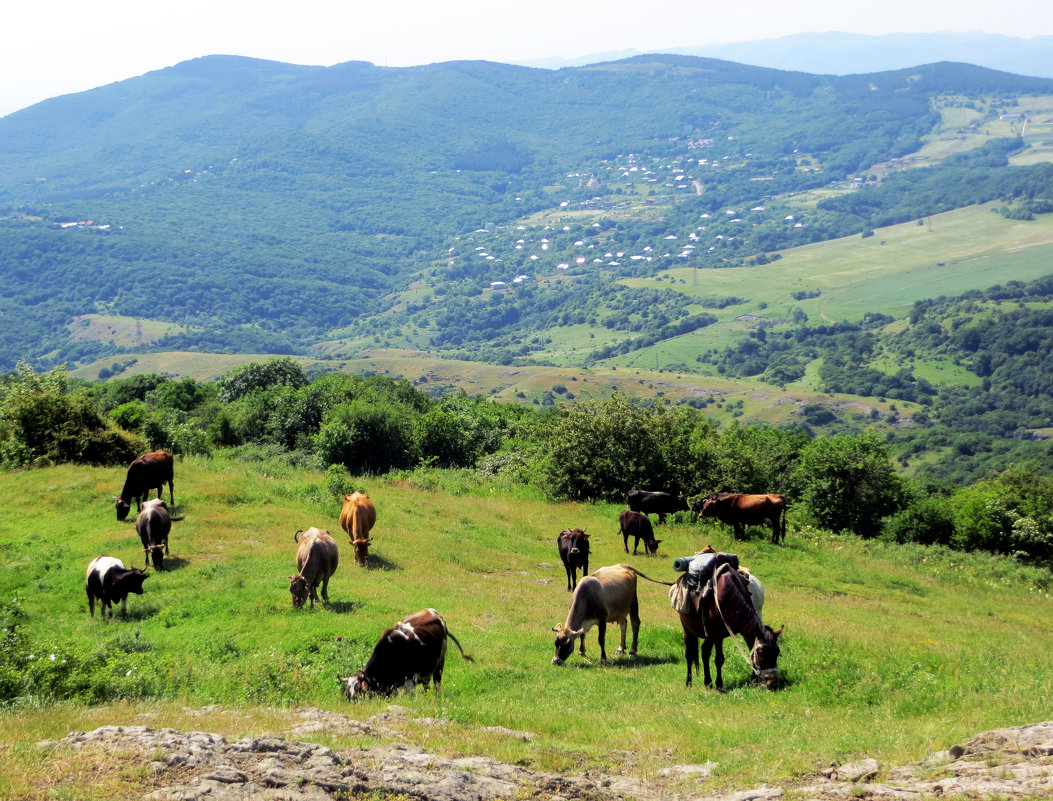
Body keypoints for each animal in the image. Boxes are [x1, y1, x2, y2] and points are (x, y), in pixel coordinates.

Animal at [339, 610, 471, 698]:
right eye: (347, 693)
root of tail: (433, 612)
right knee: (427, 684)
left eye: (359, 691)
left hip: (440, 662)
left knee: (437, 681)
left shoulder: (409, 682)